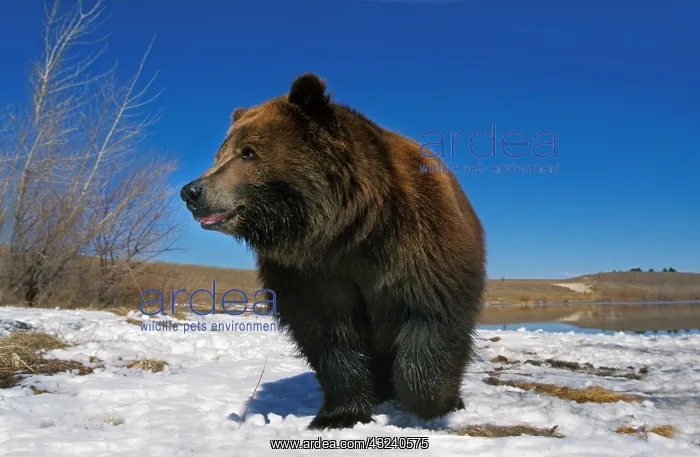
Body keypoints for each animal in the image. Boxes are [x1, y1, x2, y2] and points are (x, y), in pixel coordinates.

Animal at [180, 73, 486, 430]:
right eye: (220, 154)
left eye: (248, 152)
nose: (192, 191)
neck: (345, 229)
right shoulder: (310, 274)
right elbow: (331, 339)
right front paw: (340, 414)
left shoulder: (417, 244)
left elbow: (433, 316)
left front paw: (435, 401)